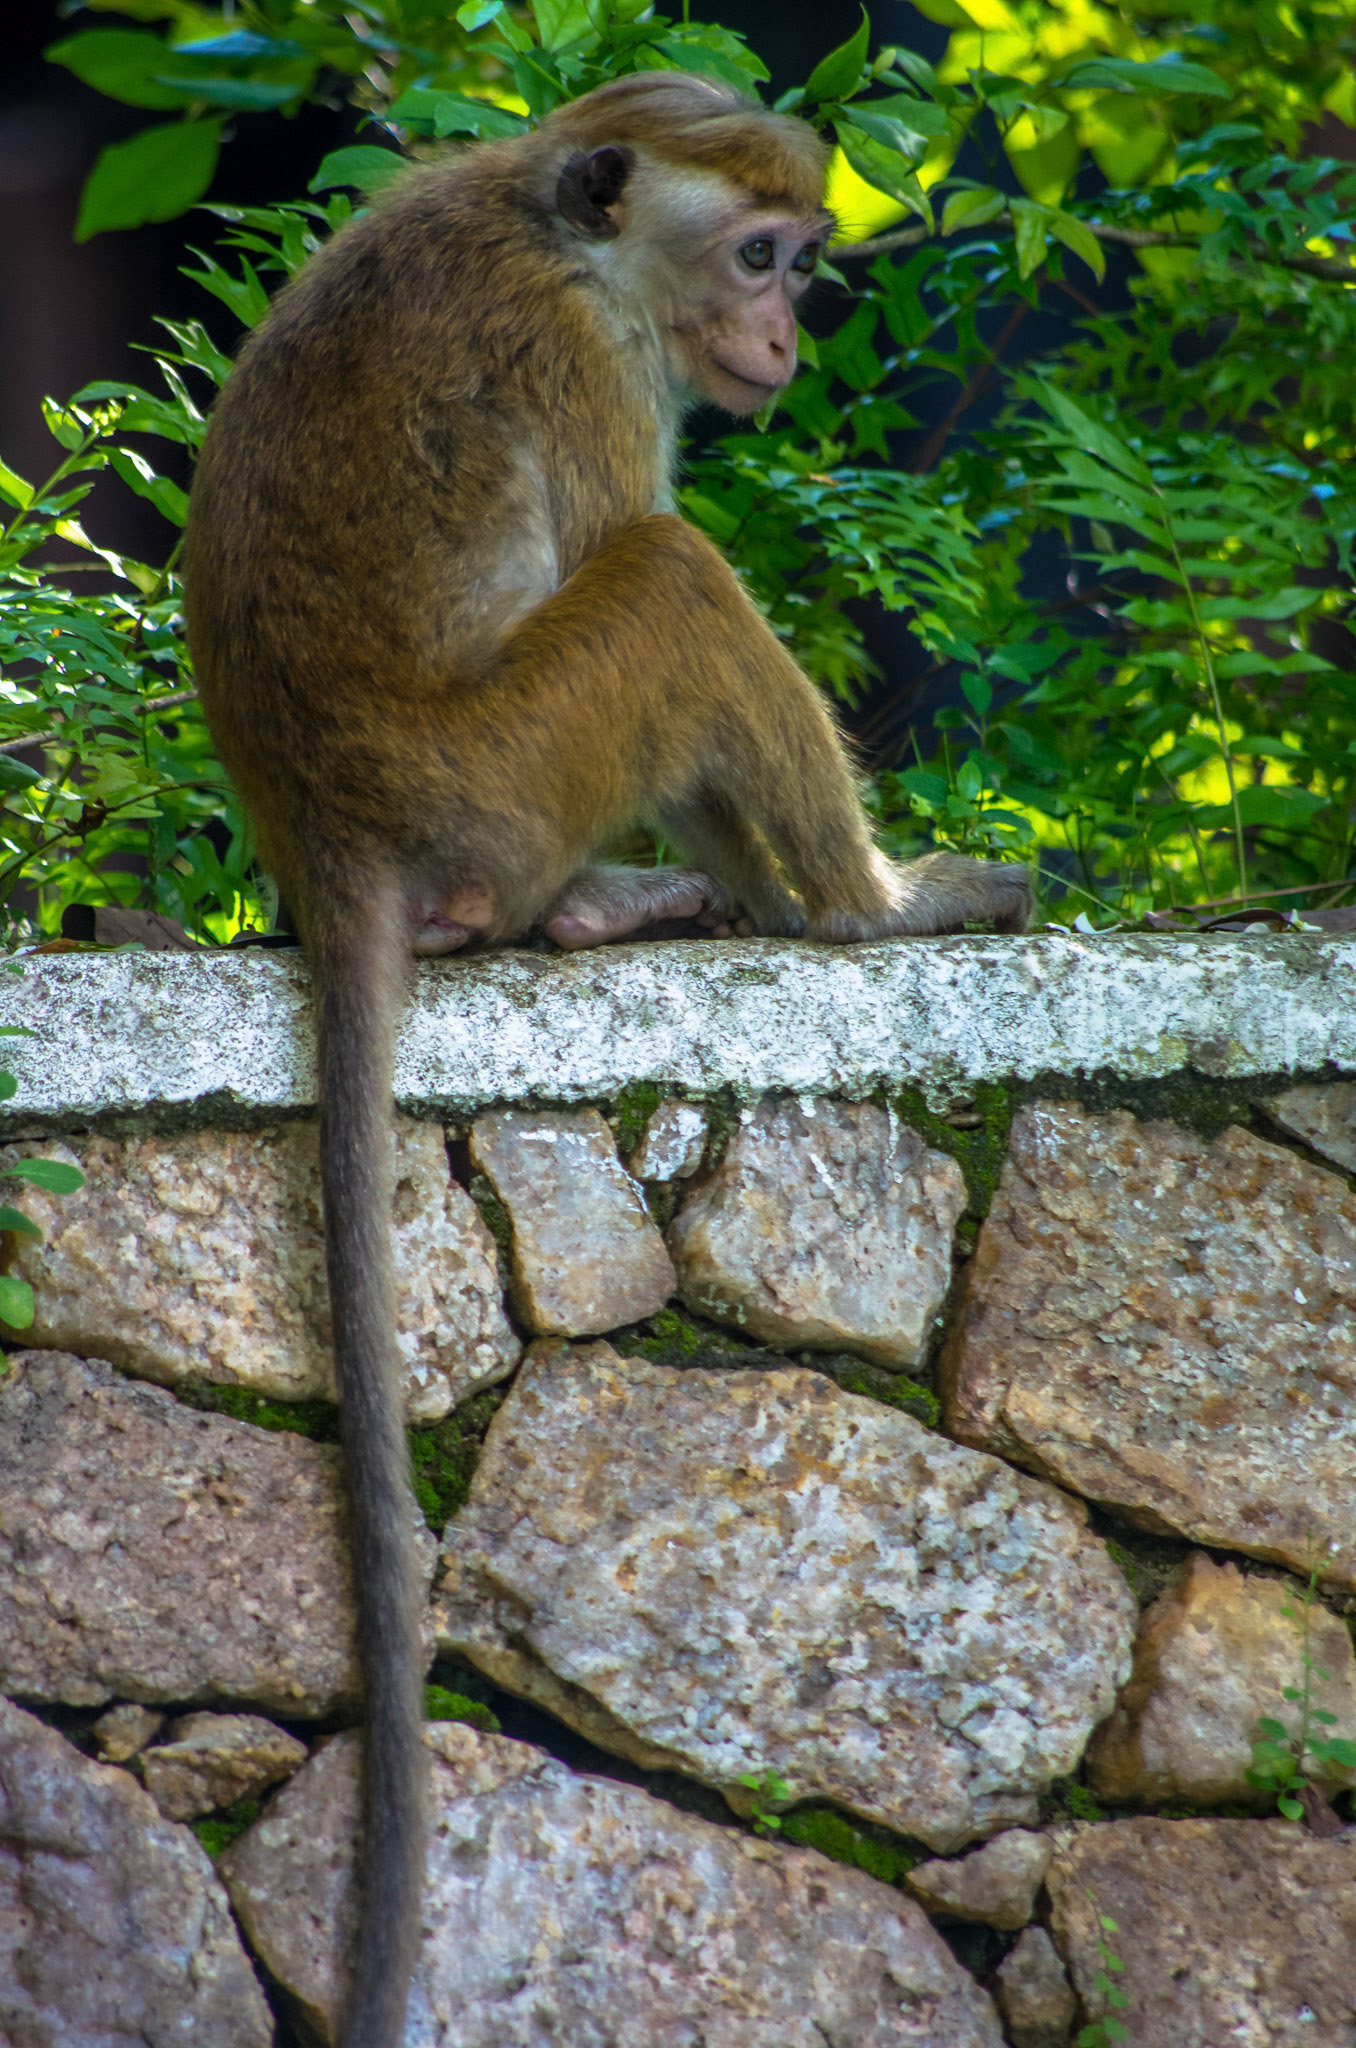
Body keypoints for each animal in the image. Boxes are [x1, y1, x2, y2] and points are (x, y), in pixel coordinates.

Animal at [181, 70, 1030, 2048]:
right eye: (764, 255)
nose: (784, 336)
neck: (556, 229)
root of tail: (332, 833)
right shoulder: (580, 362)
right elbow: (631, 539)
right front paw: (847, 903)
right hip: (515, 763)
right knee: (666, 577)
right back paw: (860, 912)